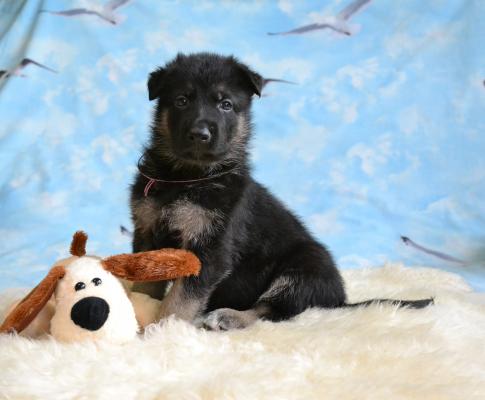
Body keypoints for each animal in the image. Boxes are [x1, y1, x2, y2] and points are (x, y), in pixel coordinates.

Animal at [130, 52, 432, 331]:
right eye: (182, 100)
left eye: (226, 105)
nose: (200, 134)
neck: (186, 178)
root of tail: (339, 301)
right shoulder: (147, 234)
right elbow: (144, 285)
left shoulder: (210, 250)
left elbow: (181, 299)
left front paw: (163, 330)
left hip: (304, 267)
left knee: (275, 310)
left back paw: (227, 316)